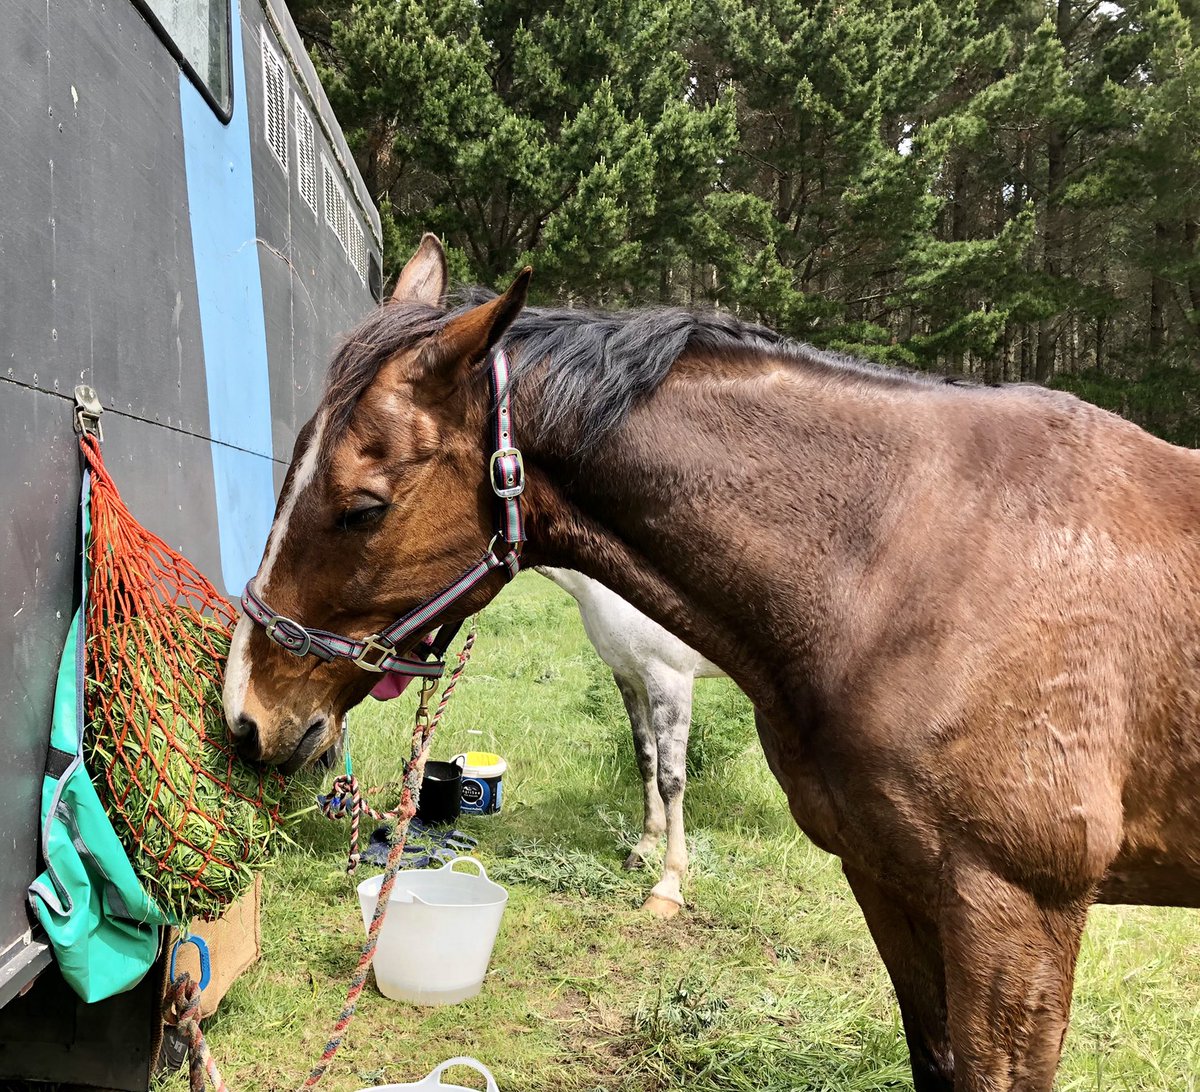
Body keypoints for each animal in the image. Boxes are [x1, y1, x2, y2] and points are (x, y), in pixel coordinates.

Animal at [536, 565, 724, 916]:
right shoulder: (630, 677)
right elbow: (646, 758)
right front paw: (644, 848)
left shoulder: (670, 677)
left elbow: (670, 779)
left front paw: (668, 885)